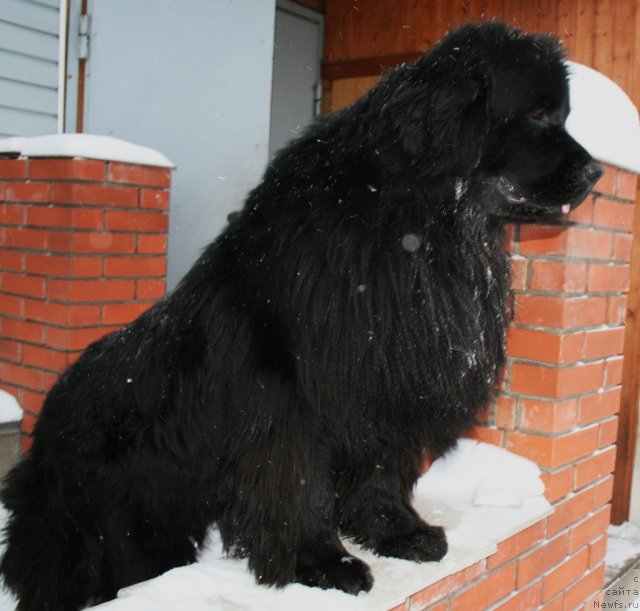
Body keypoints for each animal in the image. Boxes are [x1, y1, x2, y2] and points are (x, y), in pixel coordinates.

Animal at [1, 21, 600, 608]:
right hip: (114, 533)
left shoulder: (385, 379)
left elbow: (383, 466)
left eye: (564, 113)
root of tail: (45, 420)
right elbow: (299, 483)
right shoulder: (289, 395)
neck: (416, 223)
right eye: (537, 113)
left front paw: (399, 533)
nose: (595, 171)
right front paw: (322, 563)